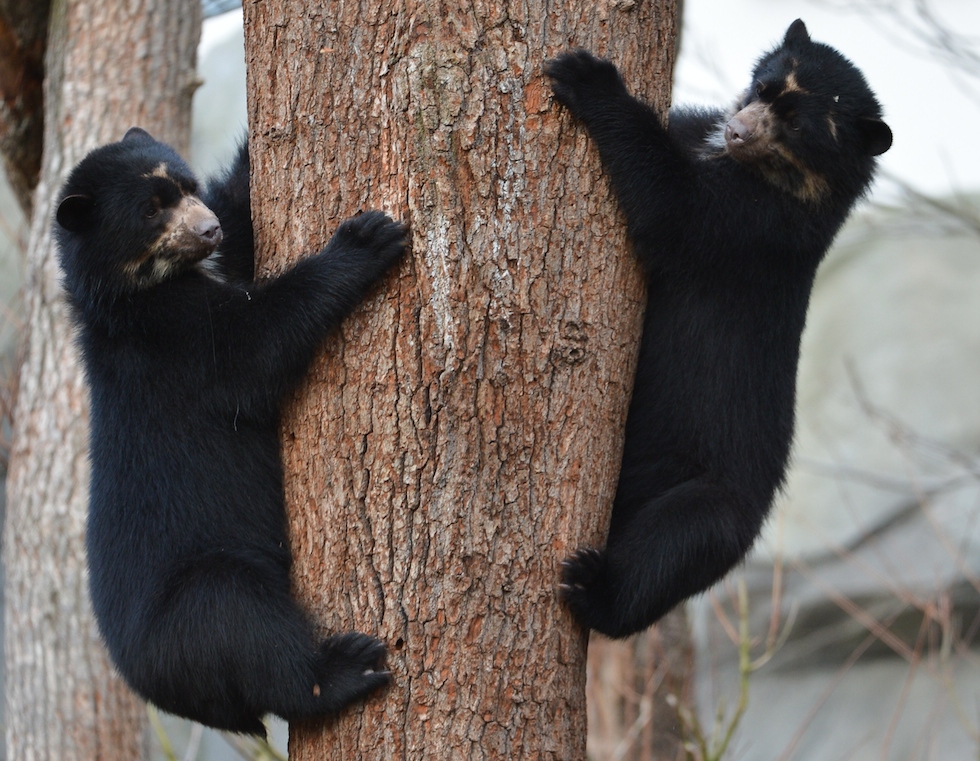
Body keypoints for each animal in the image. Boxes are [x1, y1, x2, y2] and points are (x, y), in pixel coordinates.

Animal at [55, 127, 408, 732]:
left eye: (187, 187)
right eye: (150, 210)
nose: (207, 229)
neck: (147, 287)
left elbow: (242, 205)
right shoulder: (172, 342)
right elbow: (257, 343)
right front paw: (367, 238)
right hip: (198, 608)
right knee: (247, 629)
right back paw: (345, 670)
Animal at [548, 20, 892, 636]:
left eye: (798, 125)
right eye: (763, 87)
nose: (736, 131)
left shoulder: (753, 225)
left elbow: (672, 206)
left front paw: (585, 75)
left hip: (717, 502)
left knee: (677, 545)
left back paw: (591, 587)